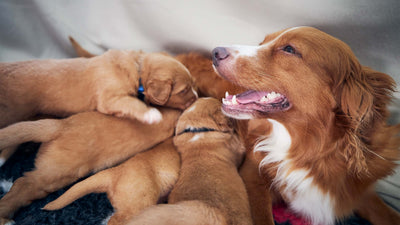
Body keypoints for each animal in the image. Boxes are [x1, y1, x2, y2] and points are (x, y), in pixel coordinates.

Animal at [212, 26, 400, 225]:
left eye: (289, 49)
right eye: (262, 43)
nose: (215, 52)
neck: (308, 150)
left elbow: (388, 214)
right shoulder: (252, 175)